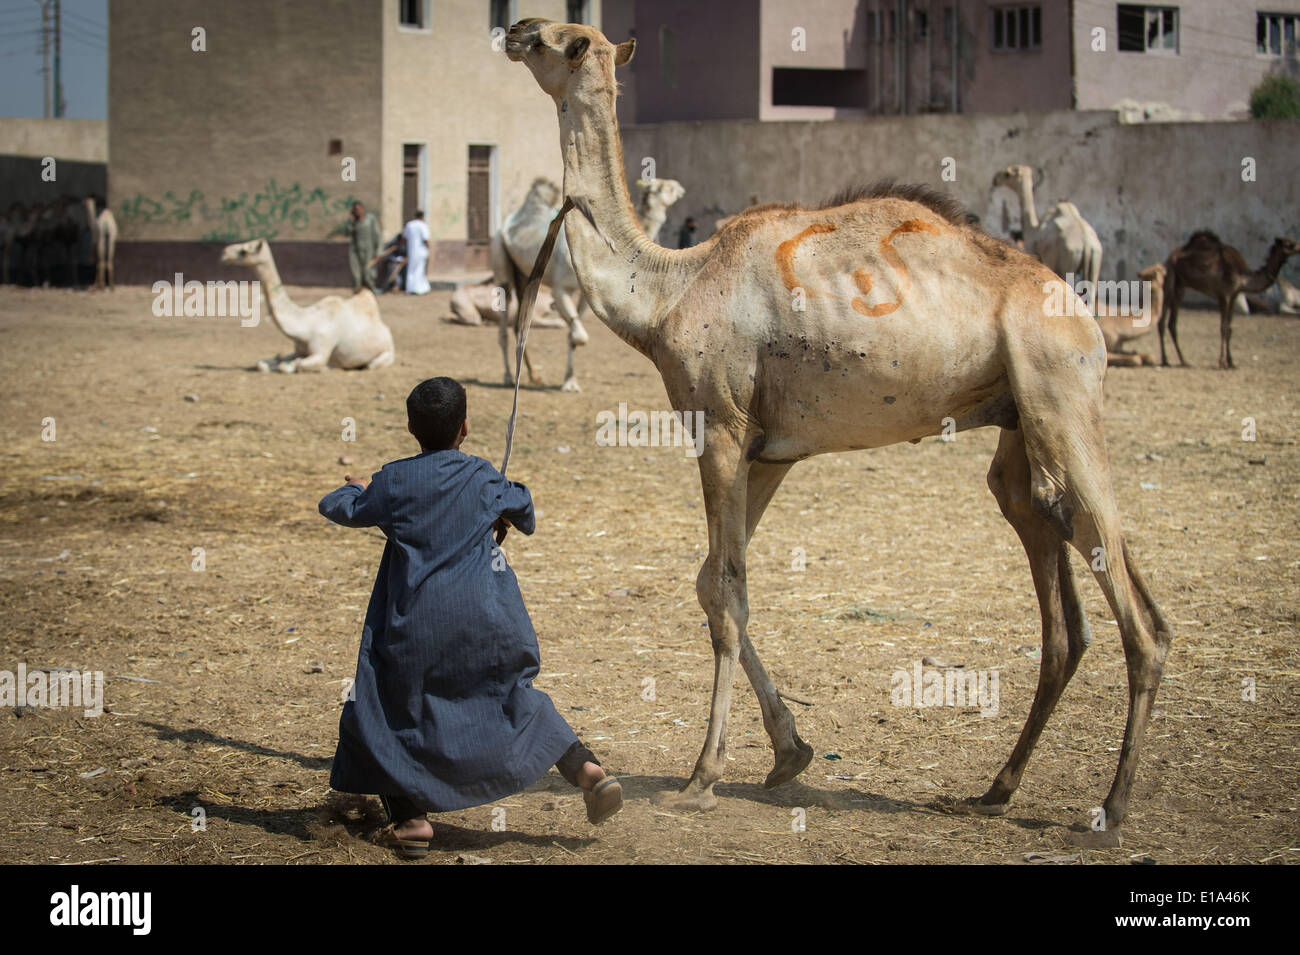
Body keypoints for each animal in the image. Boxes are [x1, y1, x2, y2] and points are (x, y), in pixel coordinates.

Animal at [219, 239, 395, 372]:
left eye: (244, 251)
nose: (224, 252)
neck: (306, 324)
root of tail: (387, 332)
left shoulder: (322, 349)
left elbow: (294, 366)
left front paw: (326, 367)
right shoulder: (298, 350)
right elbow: (264, 363)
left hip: (386, 354)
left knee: (372, 364)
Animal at [493, 176, 685, 391]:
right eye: (664, 186)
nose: (680, 188)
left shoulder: (588, 294)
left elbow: (574, 335)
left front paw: (570, 382)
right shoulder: (561, 289)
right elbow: (579, 335)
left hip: (524, 275)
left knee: (520, 324)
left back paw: (534, 375)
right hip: (502, 262)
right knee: (505, 318)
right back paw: (508, 376)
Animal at [1158, 231, 1300, 369]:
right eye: (1290, 244)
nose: (1299, 247)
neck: (1243, 276)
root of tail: (1169, 257)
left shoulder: (1234, 296)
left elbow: (1230, 328)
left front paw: (1231, 362)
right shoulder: (1224, 296)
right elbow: (1223, 328)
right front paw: (1222, 362)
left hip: (1180, 287)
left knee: (1172, 323)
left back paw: (1184, 361)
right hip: (1170, 280)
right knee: (1162, 321)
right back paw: (1165, 360)